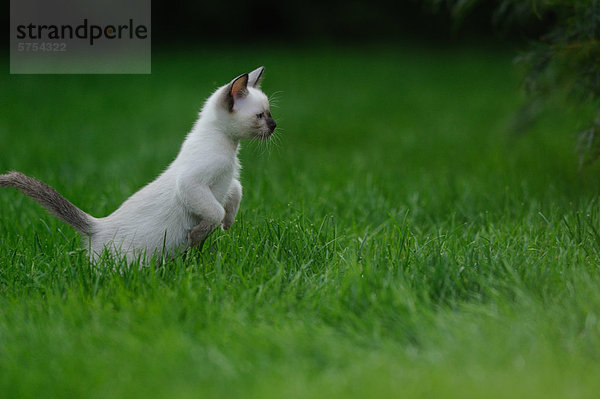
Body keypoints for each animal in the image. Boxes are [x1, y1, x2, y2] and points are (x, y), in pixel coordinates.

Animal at [0, 65, 276, 262]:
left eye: (270, 113)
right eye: (260, 116)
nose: (274, 126)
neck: (230, 147)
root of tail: (96, 226)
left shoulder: (227, 181)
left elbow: (235, 193)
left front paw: (227, 224)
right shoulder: (193, 184)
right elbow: (215, 211)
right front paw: (198, 235)